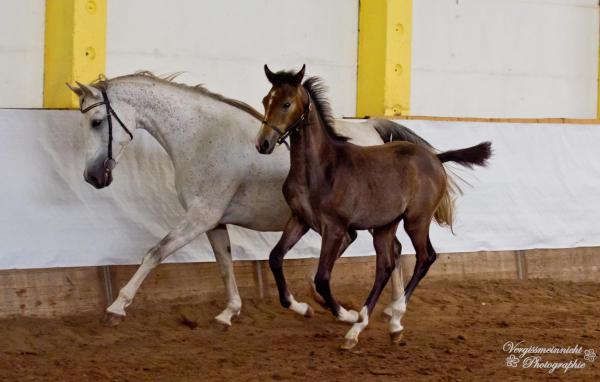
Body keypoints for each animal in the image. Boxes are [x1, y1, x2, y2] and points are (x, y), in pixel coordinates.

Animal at [255, 65, 490, 350]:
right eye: (265, 100)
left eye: (287, 103)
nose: (263, 143)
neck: (320, 169)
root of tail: (435, 158)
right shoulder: (300, 220)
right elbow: (276, 258)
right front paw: (303, 308)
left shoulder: (335, 228)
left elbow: (322, 278)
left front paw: (347, 314)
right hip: (385, 225)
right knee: (386, 265)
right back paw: (374, 326)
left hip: (416, 220)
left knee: (425, 257)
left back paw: (387, 316)